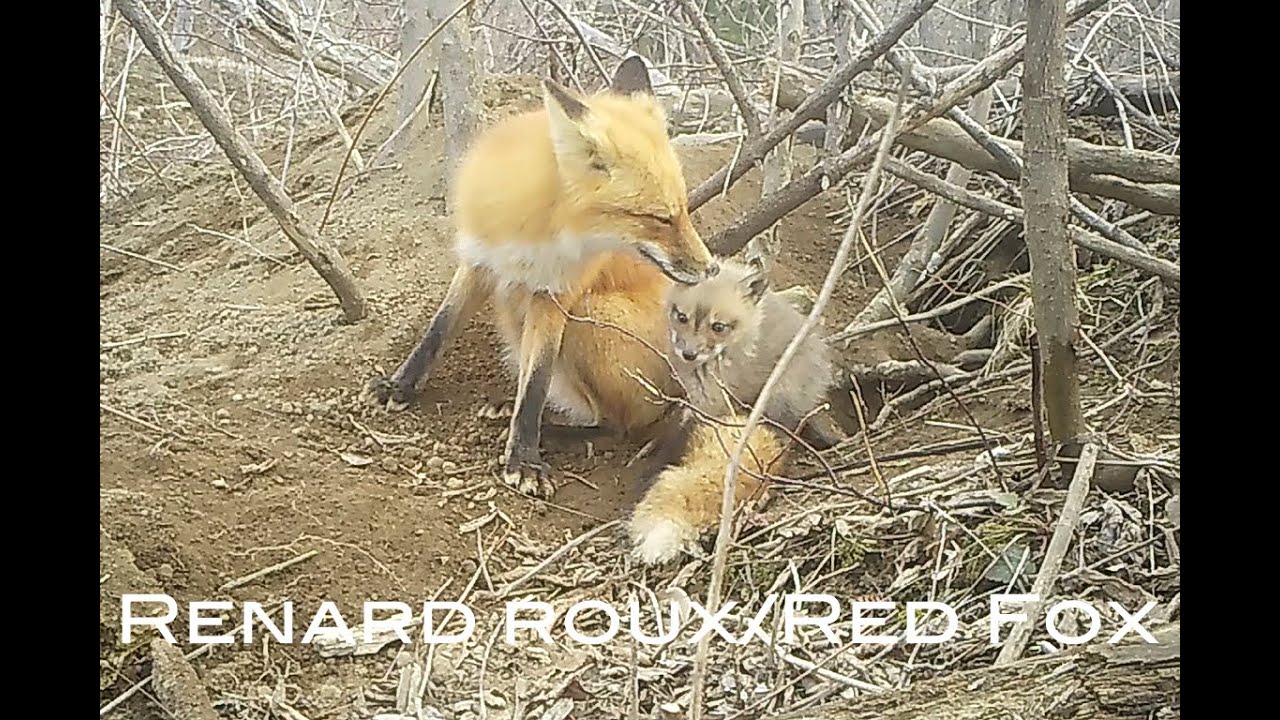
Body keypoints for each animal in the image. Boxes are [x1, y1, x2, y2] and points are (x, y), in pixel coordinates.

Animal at [363, 56, 717, 499]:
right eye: (660, 218)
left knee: (618, 426)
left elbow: (535, 382)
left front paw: (524, 459)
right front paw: (400, 387)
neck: (540, 229)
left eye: (683, 210)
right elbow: (437, 331)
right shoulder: (477, 261)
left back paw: (552, 430)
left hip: (591, 315)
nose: (711, 269)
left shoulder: (557, 294)